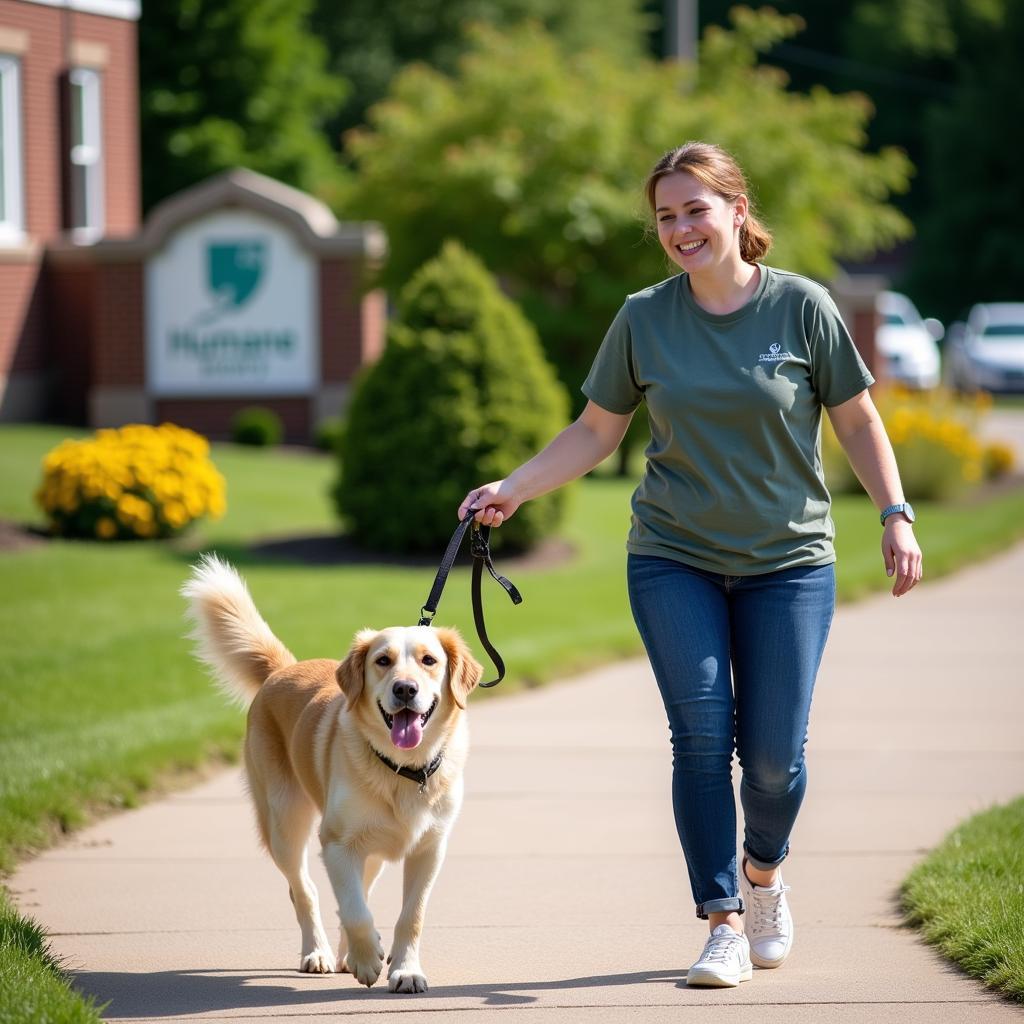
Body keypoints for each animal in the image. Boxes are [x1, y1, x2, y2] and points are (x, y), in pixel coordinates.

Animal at [181, 552, 483, 991]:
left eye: (429, 661)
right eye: (382, 661)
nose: (405, 689)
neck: (401, 770)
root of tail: (282, 670)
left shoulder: (429, 848)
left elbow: (410, 915)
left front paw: (405, 970)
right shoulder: (338, 843)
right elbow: (354, 909)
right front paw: (366, 960)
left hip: (369, 849)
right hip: (284, 822)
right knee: (304, 890)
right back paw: (320, 953)